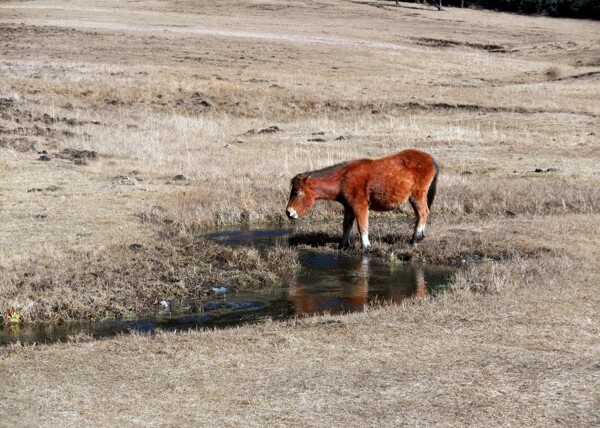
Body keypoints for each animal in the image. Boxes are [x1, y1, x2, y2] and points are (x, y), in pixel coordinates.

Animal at [284, 150, 438, 251]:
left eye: (296, 192)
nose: (289, 212)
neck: (343, 179)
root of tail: (430, 160)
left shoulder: (360, 206)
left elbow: (362, 227)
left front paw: (366, 247)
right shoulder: (349, 207)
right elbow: (346, 225)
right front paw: (343, 245)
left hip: (417, 195)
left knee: (423, 213)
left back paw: (415, 240)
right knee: (420, 215)